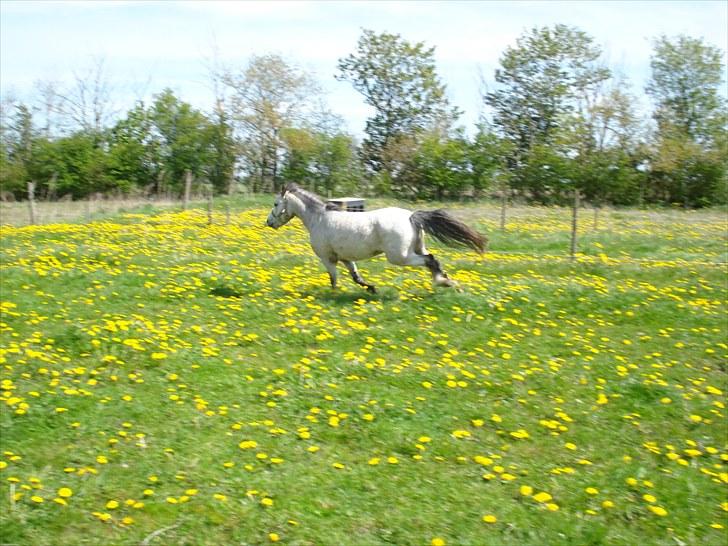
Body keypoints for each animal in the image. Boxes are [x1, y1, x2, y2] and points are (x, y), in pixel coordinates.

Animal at [265, 183, 487, 293]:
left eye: (276, 203)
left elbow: (334, 279)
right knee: (433, 260)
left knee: (430, 260)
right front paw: (372, 289)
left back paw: (443, 282)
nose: (269, 222)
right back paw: (447, 282)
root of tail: (411, 216)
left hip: (400, 257)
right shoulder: (345, 258)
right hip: (416, 248)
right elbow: (356, 277)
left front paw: (333, 295)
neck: (318, 219)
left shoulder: (328, 258)